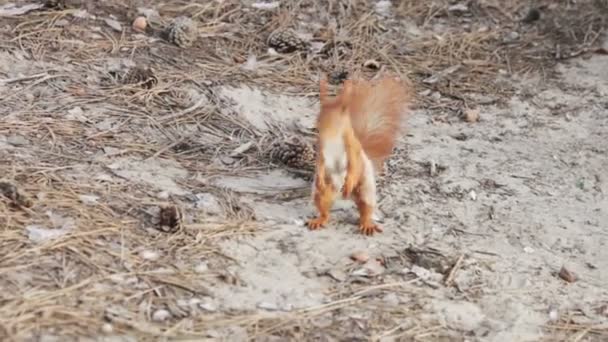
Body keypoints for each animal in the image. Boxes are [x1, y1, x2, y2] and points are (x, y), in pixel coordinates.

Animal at [308, 75, 414, 235]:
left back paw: (366, 224)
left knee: (366, 209)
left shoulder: (352, 147)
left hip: (366, 189)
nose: (321, 128)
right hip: (321, 194)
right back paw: (319, 220)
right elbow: (319, 163)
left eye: (342, 114)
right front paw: (319, 178)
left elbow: (353, 165)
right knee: (325, 210)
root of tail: (343, 197)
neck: (332, 138)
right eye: (319, 115)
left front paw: (349, 181)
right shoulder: (321, 146)